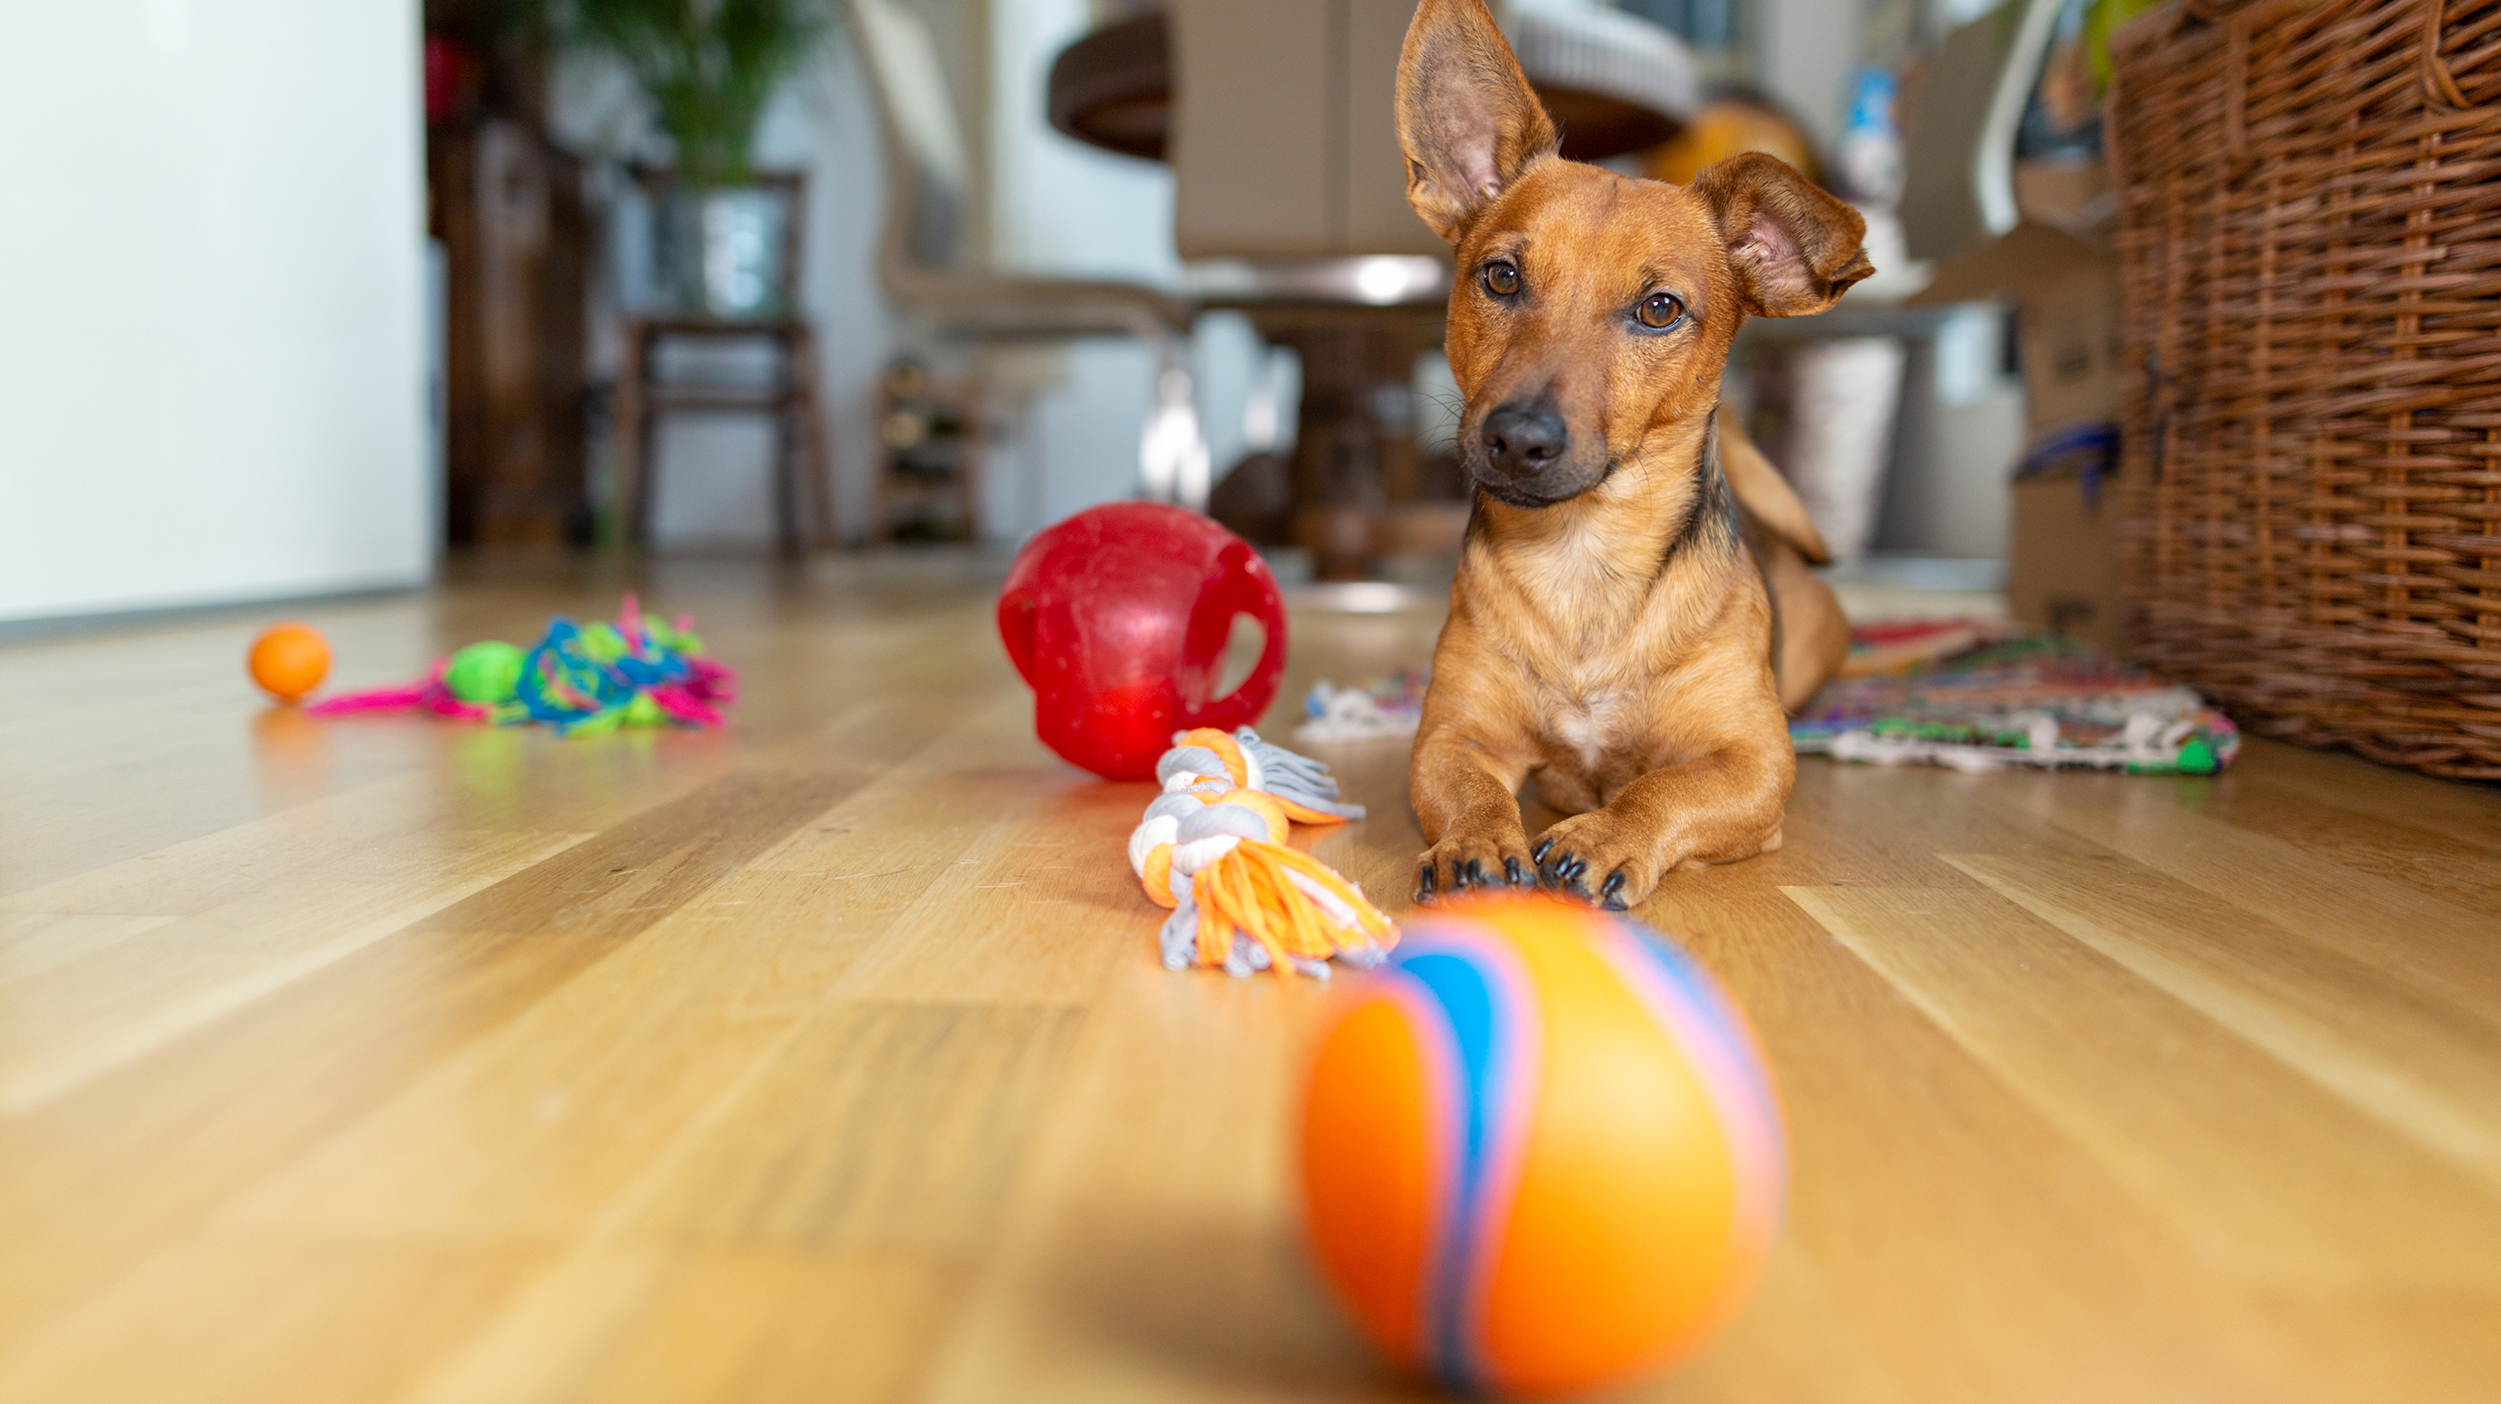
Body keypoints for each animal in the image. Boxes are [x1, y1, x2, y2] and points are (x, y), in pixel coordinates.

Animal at [1400, 0, 1870, 910]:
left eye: (1659, 309)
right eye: (1500, 277)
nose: (1517, 438)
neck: (1583, 560)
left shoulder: (1754, 765)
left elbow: (1664, 788)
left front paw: (1607, 834)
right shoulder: (1450, 735)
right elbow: (1470, 789)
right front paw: (1476, 840)